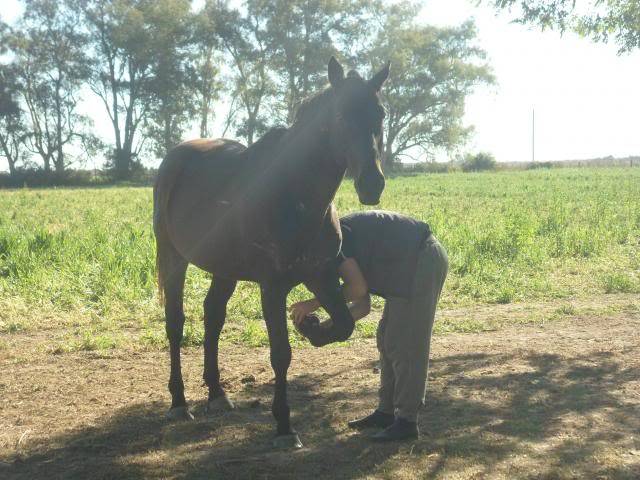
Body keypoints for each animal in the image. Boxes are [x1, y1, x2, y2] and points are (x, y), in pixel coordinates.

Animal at [154, 57, 390, 450]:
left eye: (381, 114)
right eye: (341, 114)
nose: (372, 184)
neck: (295, 196)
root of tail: (175, 157)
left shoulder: (322, 275)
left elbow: (343, 325)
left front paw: (313, 328)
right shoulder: (272, 286)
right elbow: (281, 353)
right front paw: (283, 426)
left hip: (224, 267)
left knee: (212, 316)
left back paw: (217, 394)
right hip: (174, 258)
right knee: (176, 323)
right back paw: (179, 402)